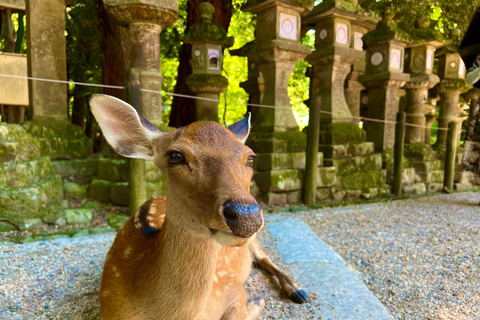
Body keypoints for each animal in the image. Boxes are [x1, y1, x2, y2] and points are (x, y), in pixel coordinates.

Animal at [89, 94, 308, 318]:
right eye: (175, 156)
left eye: (251, 157)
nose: (246, 216)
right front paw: (256, 302)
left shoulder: (232, 286)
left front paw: (257, 302)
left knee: (264, 257)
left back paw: (298, 291)